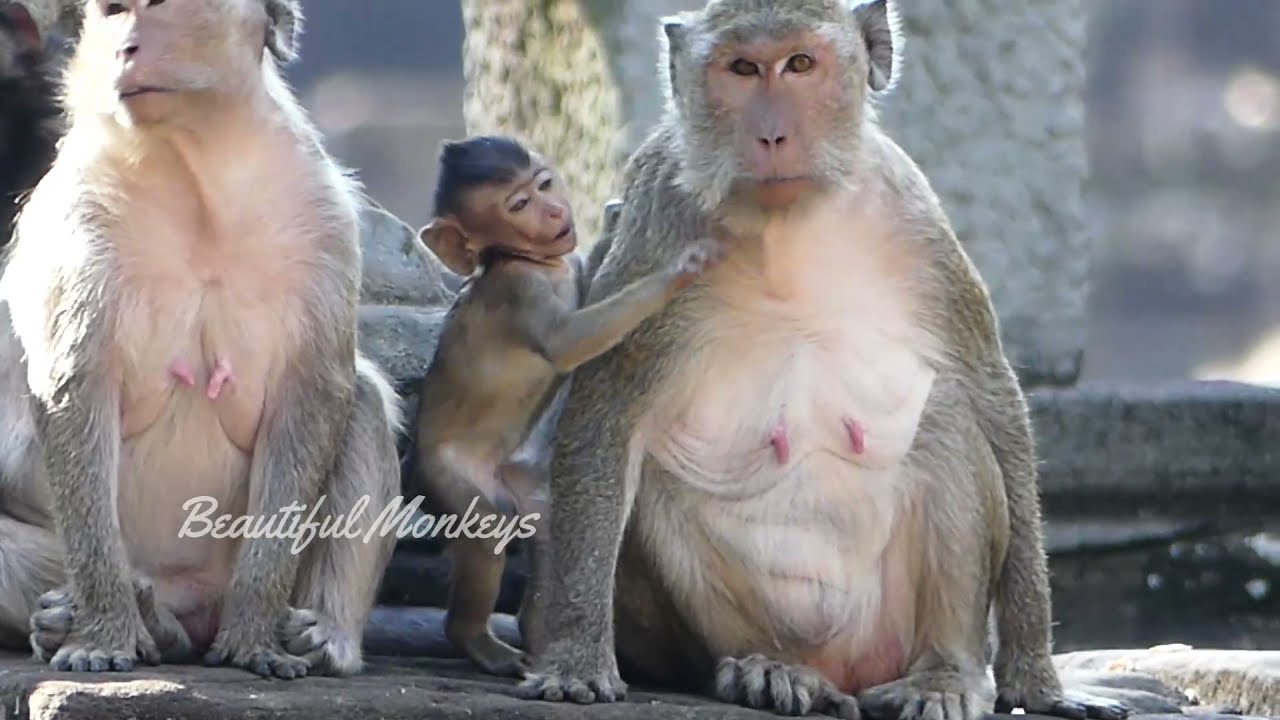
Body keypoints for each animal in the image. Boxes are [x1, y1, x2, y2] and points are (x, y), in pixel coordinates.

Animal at [0, 0, 402, 680]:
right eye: (115, 10)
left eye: (163, 7)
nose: (126, 49)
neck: (196, 168)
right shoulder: (81, 216)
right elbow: (75, 388)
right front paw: (102, 631)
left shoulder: (322, 215)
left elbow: (313, 392)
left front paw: (256, 635)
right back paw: (117, 620)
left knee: (363, 399)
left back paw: (324, 635)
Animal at [412, 135, 723, 678]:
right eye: (519, 204)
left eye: (544, 184)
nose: (556, 211)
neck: (530, 260)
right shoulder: (523, 291)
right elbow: (567, 342)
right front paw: (678, 272)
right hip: (448, 472)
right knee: (487, 528)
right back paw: (477, 640)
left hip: (520, 484)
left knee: (549, 528)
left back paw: (542, 637)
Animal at [517, 2, 1132, 719]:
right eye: (742, 68)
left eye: (801, 64)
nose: (772, 134)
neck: (786, 227)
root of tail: (847, 671)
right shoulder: (655, 223)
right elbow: (605, 416)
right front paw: (574, 657)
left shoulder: (916, 223)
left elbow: (987, 394)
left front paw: (1037, 681)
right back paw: (770, 671)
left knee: (947, 425)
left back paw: (942, 675)